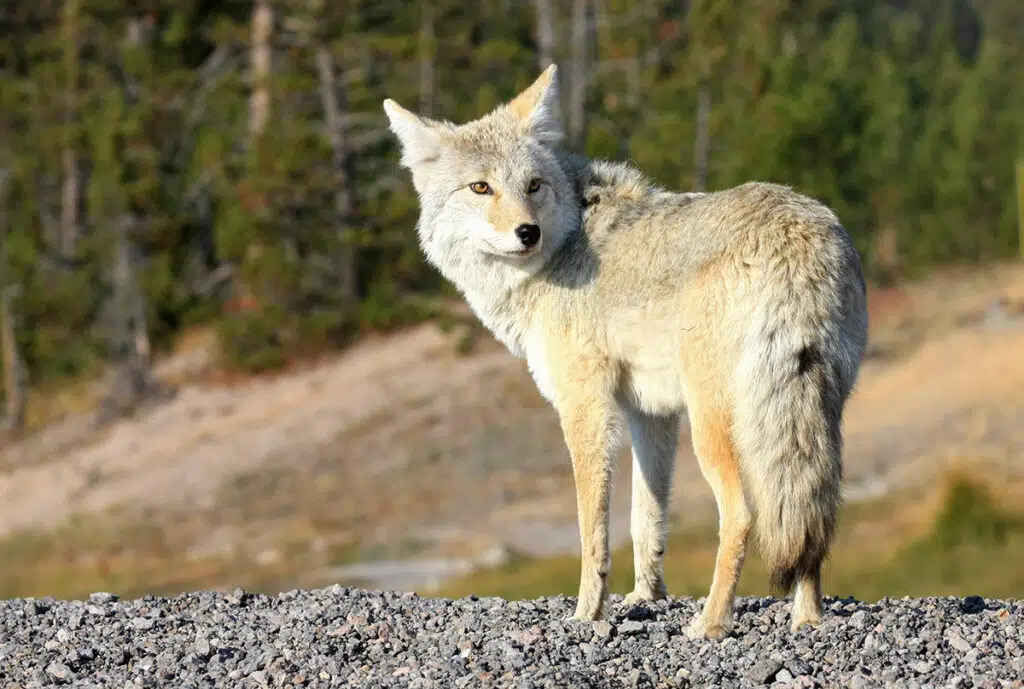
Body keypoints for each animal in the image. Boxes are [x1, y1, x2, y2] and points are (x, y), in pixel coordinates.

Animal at [382, 65, 868, 638]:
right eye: (481, 187)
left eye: (533, 185)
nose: (527, 232)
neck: (561, 250)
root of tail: (803, 240)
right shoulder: (649, 413)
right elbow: (645, 520)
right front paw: (645, 596)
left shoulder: (585, 407)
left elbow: (593, 529)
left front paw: (587, 613)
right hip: (813, 423)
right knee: (813, 517)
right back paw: (806, 619)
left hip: (716, 428)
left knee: (744, 515)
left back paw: (709, 625)